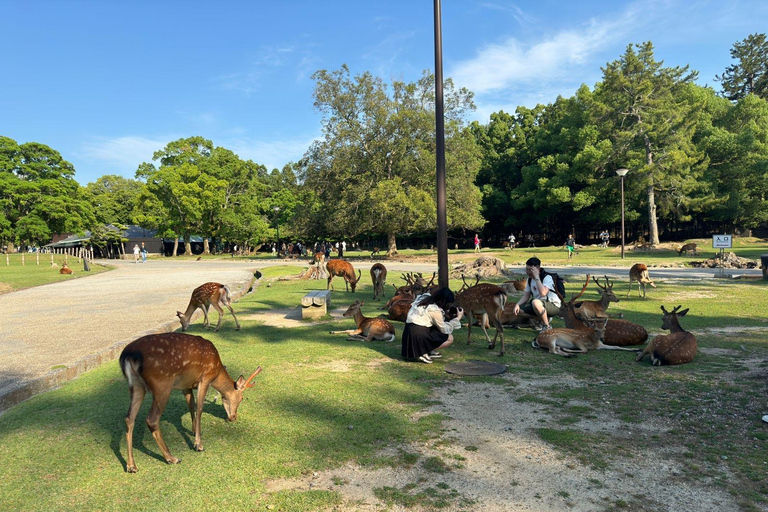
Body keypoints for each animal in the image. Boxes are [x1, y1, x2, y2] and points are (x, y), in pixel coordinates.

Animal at [120, 332, 262, 472]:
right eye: (241, 398)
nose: (233, 417)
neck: (217, 371)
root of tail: (128, 355)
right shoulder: (205, 377)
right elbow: (199, 408)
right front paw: (198, 444)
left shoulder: (185, 385)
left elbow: (191, 404)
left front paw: (193, 430)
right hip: (162, 384)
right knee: (151, 419)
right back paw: (171, 458)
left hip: (136, 385)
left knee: (129, 418)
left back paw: (131, 466)